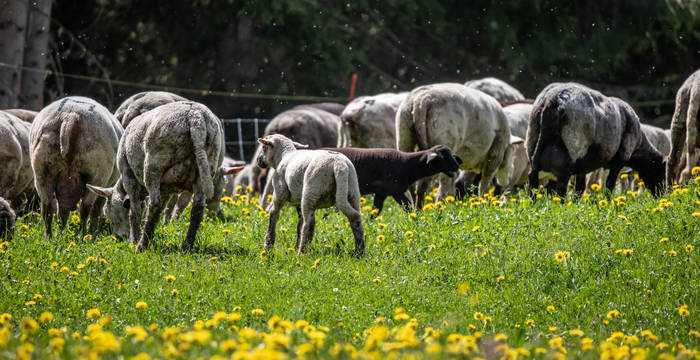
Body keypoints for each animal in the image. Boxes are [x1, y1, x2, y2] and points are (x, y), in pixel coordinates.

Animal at [30, 96, 123, 236]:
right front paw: (93, 232)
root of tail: (70, 116)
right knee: (85, 207)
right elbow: (96, 209)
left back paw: (51, 236)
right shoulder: (108, 184)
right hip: (96, 174)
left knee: (48, 208)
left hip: (43, 170)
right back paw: (84, 235)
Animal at [85, 101, 241, 252]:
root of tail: (196, 118)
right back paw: (187, 246)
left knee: (154, 204)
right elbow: (162, 209)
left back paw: (141, 246)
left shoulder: (128, 176)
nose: (118, 237)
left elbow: (135, 212)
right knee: (197, 208)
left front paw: (133, 241)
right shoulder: (167, 188)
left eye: (108, 211)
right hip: (207, 165)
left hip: (154, 164)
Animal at [528, 82, 664, 195]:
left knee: (533, 176)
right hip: (574, 147)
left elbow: (580, 188)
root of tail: (552, 102)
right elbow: (609, 185)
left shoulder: (582, 165)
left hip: (534, 143)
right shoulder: (620, 158)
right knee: (562, 182)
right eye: (661, 171)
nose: (661, 194)